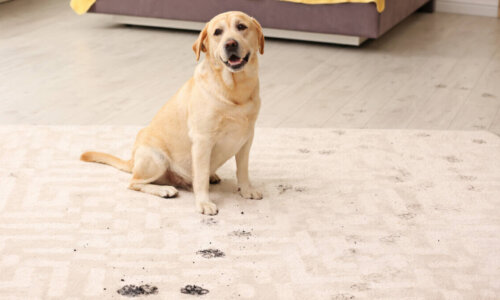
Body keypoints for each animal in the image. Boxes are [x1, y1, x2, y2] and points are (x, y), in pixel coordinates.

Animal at [80, 10, 264, 214]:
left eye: (241, 27)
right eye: (217, 32)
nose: (230, 43)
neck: (234, 90)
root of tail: (132, 160)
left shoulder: (246, 138)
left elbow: (243, 170)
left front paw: (247, 190)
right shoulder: (202, 141)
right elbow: (200, 178)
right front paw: (204, 203)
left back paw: (212, 175)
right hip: (157, 159)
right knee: (134, 182)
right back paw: (164, 190)